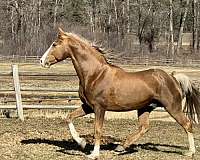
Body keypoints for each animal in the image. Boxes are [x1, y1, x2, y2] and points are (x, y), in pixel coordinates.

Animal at [40, 28, 200, 159]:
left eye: (54, 44)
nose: (41, 61)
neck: (95, 74)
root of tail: (172, 77)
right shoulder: (88, 107)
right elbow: (69, 117)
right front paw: (82, 142)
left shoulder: (99, 108)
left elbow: (97, 130)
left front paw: (94, 154)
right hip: (145, 108)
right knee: (144, 127)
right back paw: (121, 146)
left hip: (172, 107)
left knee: (187, 124)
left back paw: (190, 152)